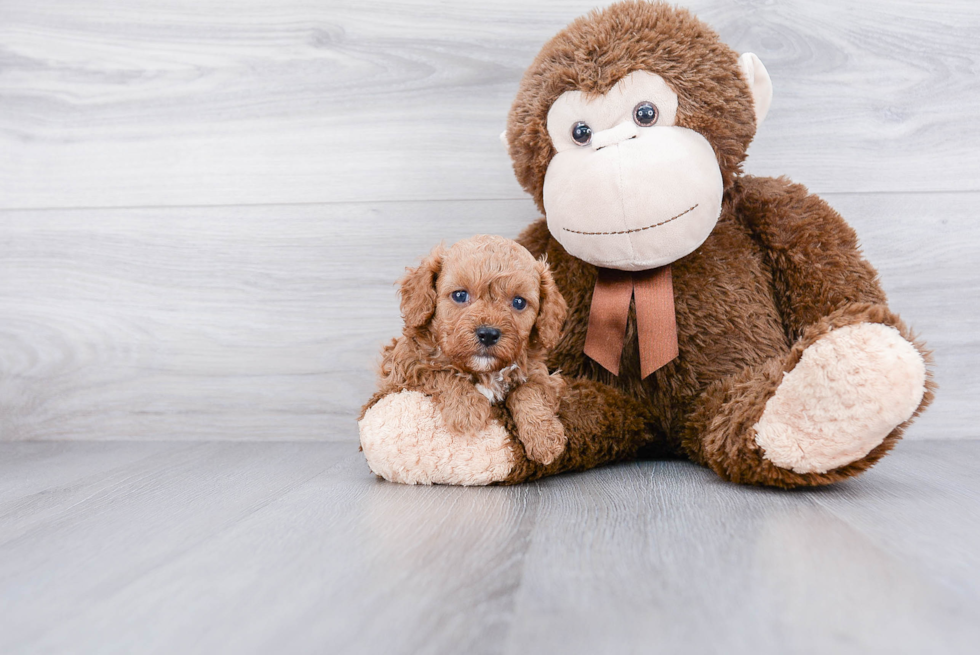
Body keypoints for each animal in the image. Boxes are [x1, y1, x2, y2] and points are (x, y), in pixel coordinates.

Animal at [364, 236, 572, 466]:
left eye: (519, 302)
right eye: (460, 295)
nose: (488, 334)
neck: (484, 371)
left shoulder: (543, 376)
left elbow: (528, 390)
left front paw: (544, 437)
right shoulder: (404, 367)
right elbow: (439, 373)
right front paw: (467, 410)